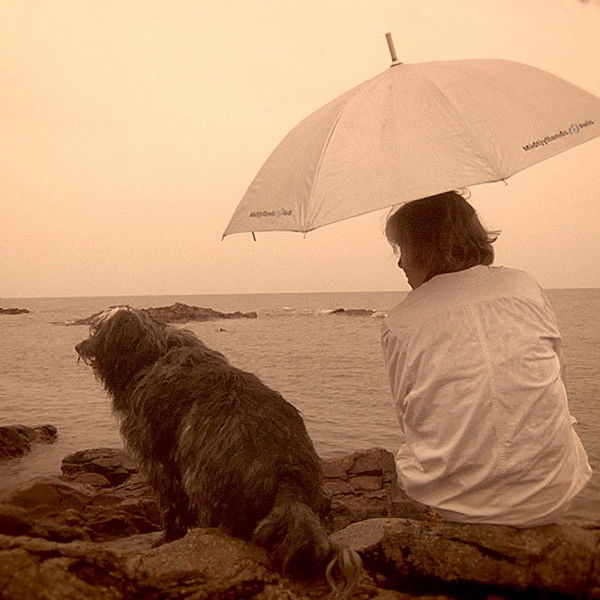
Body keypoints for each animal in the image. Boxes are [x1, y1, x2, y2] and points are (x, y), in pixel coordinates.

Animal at [76, 306, 362, 597]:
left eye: (98, 329)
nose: (79, 346)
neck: (152, 354)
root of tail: (287, 480)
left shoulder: (158, 457)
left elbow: (170, 505)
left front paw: (167, 537)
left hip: (200, 478)